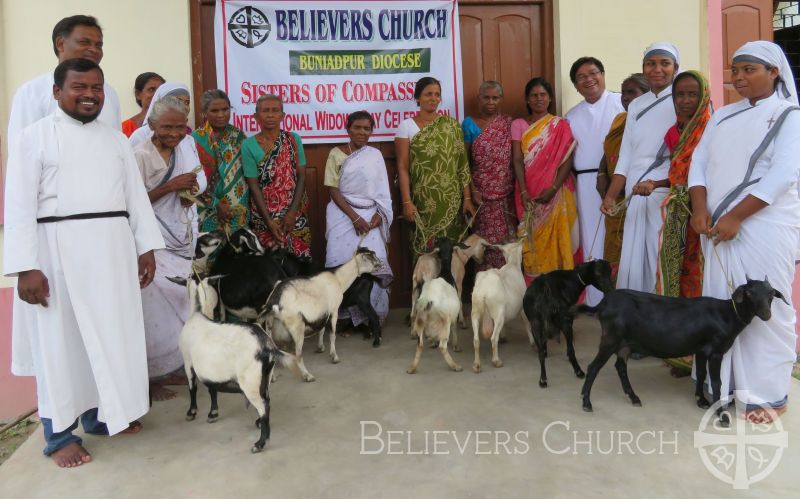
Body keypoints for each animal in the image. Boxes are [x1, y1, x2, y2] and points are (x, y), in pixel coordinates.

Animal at [167, 274, 302, 454]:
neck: (197, 312)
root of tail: (267, 347)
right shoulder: (211, 371)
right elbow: (212, 389)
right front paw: (213, 413)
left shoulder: (187, 361)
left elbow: (192, 387)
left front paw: (192, 412)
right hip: (265, 377)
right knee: (267, 399)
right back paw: (259, 424)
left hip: (249, 382)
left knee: (263, 406)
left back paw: (260, 443)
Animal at [262, 247, 382, 382]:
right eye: (369, 258)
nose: (380, 265)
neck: (338, 279)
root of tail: (274, 301)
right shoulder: (334, 310)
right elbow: (332, 334)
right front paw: (334, 357)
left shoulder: (324, 312)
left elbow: (321, 330)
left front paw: (320, 348)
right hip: (297, 326)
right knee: (297, 354)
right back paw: (308, 376)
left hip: (269, 325)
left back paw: (272, 377)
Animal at [468, 240, 532, 374]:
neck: (512, 264)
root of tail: (484, 291)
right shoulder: (522, 307)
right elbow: (527, 323)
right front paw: (533, 343)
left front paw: (504, 336)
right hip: (498, 314)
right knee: (493, 338)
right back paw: (496, 361)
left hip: (475, 312)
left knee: (476, 340)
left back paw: (476, 365)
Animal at [520, 260, 616, 388]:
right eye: (598, 273)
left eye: (609, 272)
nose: (610, 290)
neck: (572, 278)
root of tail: (545, 289)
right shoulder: (569, 318)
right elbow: (570, 347)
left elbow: (543, 343)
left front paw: (545, 351)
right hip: (564, 320)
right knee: (571, 350)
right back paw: (578, 371)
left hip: (535, 322)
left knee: (540, 352)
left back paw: (543, 379)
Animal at [580, 278, 792, 426]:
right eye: (749, 293)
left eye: (771, 295)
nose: (766, 314)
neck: (728, 315)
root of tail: (603, 303)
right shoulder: (716, 351)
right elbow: (717, 382)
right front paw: (721, 415)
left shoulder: (701, 350)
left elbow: (701, 374)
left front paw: (701, 400)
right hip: (610, 339)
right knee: (593, 367)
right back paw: (586, 402)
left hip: (624, 344)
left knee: (620, 367)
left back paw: (633, 397)